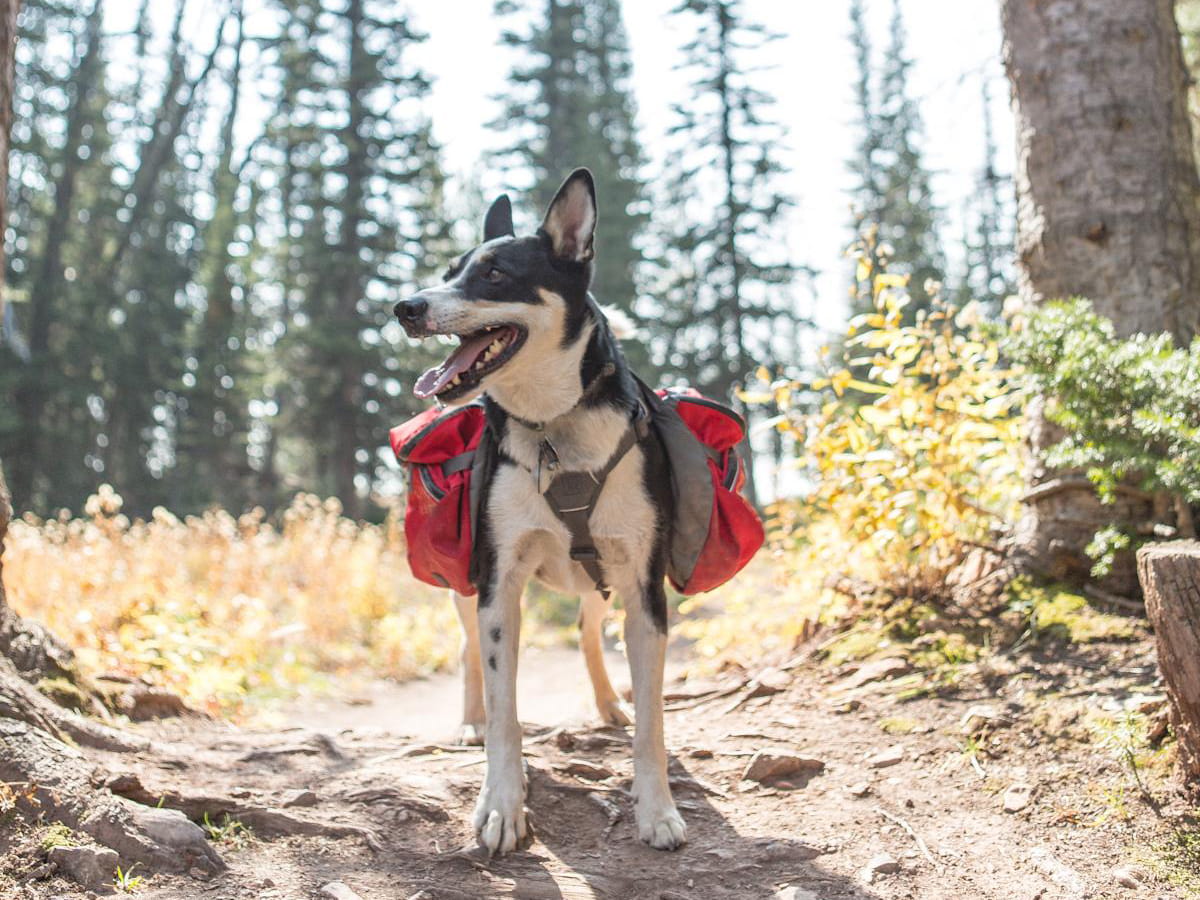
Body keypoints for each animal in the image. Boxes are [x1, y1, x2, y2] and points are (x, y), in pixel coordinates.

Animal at [393, 170, 686, 859]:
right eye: (448, 271)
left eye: (496, 274)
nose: (406, 306)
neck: (555, 424)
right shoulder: (498, 579)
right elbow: (506, 711)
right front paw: (502, 806)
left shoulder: (644, 586)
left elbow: (653, 721)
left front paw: (657, 809)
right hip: (467, 588)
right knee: (470, 652)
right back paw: (470, 720)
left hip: (605, 578)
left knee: (587, 630)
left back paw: (608, 704)